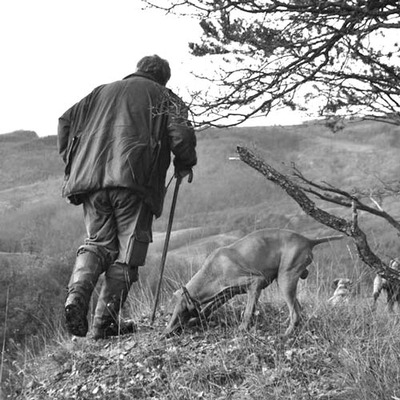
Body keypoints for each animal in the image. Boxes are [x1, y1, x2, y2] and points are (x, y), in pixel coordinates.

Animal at [166, 228, 344, 338]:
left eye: (179, 312)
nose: (165, 333)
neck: (211, 270)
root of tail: (307, 240)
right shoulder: (225, 294)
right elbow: (207, 309)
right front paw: (197, 321)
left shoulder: (256, 283)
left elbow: (247, 312)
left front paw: (242, 329)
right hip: (287, 279)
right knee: (298, 308)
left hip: (285, 279)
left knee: (295, 312)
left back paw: (287, 333)